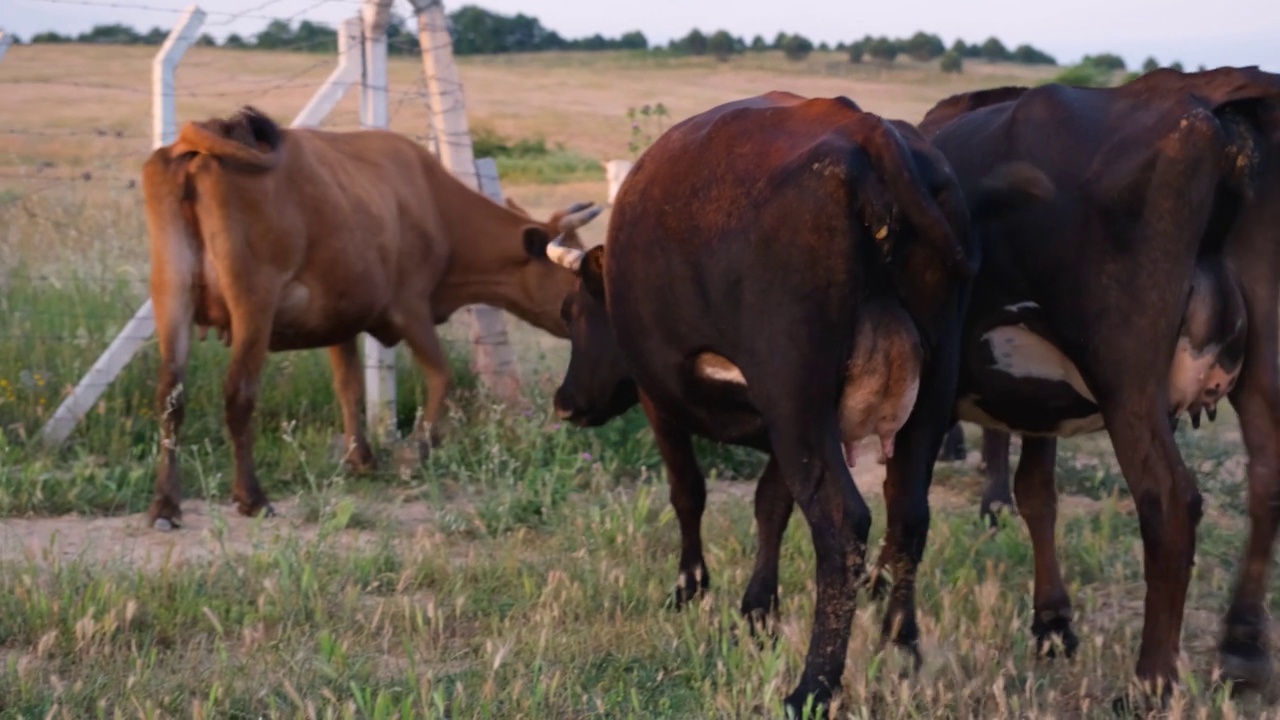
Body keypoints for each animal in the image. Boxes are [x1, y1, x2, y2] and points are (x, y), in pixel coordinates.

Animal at [142, 106, 601, 530]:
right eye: (574, 271)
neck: (433, 203)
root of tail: (204, 139)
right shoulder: (411, 306)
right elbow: (441, 376)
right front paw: (417, 451)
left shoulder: (338, 316)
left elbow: (349, 386)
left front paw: (360, 458)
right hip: (253, 302)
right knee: (238, 395)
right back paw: (252, 497)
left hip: (171, 295)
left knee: (170, 395)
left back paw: (165, 505)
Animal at [540, 90, 1049, 717]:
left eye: (572, 313)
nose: (565, 404)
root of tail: (870, 133)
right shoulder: (785, 428)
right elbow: (771, 505)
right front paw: (759, 608)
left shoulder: (670, 403)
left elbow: (689, 493)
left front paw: (691, 589)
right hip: (926, 398)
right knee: (908, 514)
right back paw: (901, 647)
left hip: (799, 399)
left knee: (843, 523)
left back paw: (814, 685)